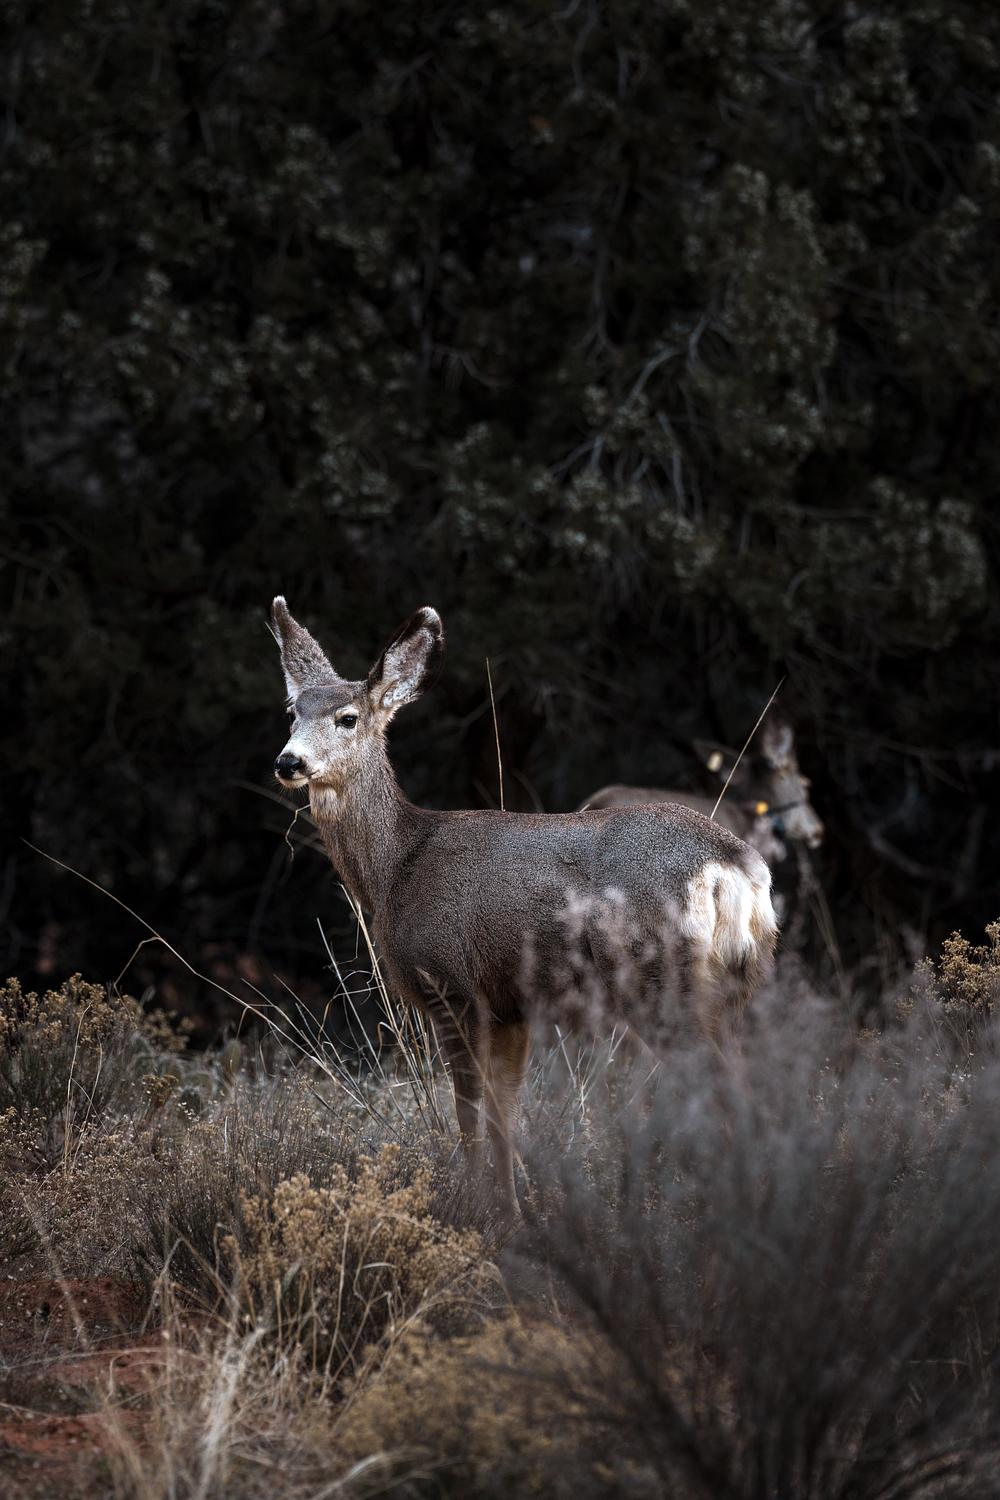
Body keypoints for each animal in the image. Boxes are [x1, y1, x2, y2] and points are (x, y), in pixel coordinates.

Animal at [269, 598, 778, 1216]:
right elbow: (504, 1112)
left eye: (347, 718)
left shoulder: (452, 986)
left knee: (725, 1092)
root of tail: (736, 867)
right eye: (292, 712)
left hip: (661, 983)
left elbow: (468, 1112)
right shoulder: (509, 1005)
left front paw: (470, 1210)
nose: (289, 762)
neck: (397, 866)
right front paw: (513, 1211)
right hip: (736, 987)